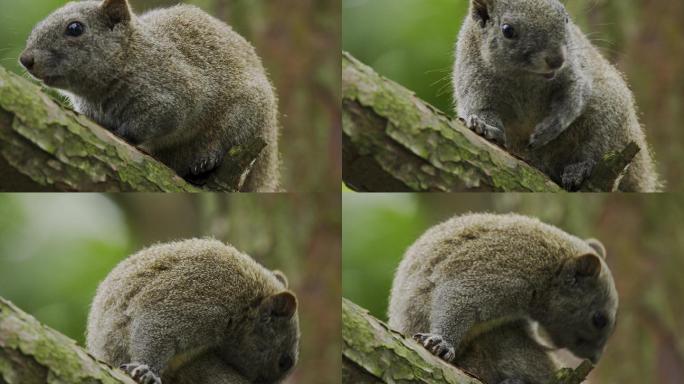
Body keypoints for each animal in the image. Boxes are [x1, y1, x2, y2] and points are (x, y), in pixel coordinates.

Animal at [20, 0, 280, 192]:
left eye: (75, 28)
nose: (25, 59)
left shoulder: (173, 96)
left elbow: (151, 122)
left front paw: (124, 134)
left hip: (245, 119)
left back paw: (206, 160)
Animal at [390, 214, 620, 382]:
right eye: (599, 320)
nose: (595, 359)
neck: (550, 270)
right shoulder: (500, 273)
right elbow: (456, 296)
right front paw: (442, 342)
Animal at [452, 0, 660, 191]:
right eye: (507, 30)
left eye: (566, 18)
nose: (557, 59)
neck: (526, 78)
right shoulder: (473, 80)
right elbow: (481, 108)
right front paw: (482, 125)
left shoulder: (575, 73)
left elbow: (574, 97)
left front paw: (551, 126)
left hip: (608, 118)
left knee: (595, 149)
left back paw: (579, 169)